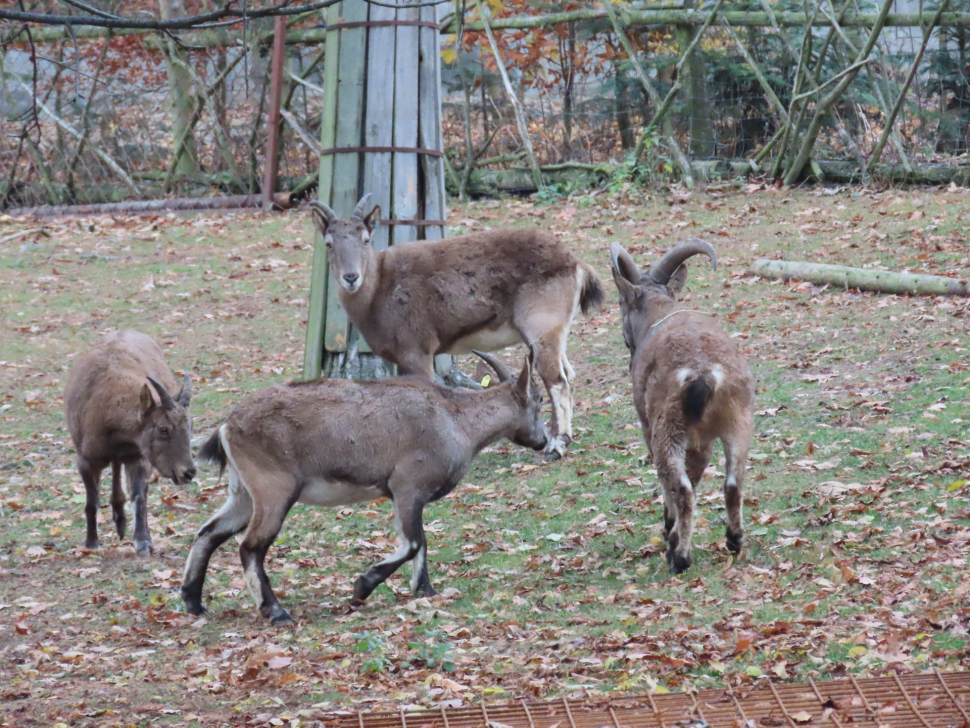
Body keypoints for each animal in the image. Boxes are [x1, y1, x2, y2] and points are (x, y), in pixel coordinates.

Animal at [63, 332, 195, 556]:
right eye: (163, 428)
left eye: (190, 425)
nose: (188, 473)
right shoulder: (86, 460)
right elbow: (91, 501)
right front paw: (91, 542)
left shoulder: (139, 457)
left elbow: (139, 498)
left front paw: (143, 542)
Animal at [182, 350, 544, 624]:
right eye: (539, 400)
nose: (542, 441)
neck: (455, 419)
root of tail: (228, 427)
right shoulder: (407, 487)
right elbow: (413, 543)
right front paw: (362, 588)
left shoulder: (409, 496)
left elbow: (421, 543)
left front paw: (425, 590)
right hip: (274, 490)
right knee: (250, 547)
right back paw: (276, 612)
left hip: (243, 494)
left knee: (208, 533)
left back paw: (193, 602)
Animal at [306, 196, 600, 458]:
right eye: (329, 243)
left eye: (365, 239)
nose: (351, 277)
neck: (379, 288)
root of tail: (577, 264)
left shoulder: (417, 350)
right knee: (567, 373)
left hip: (542, 326)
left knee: (558, 380)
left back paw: (556, 446)